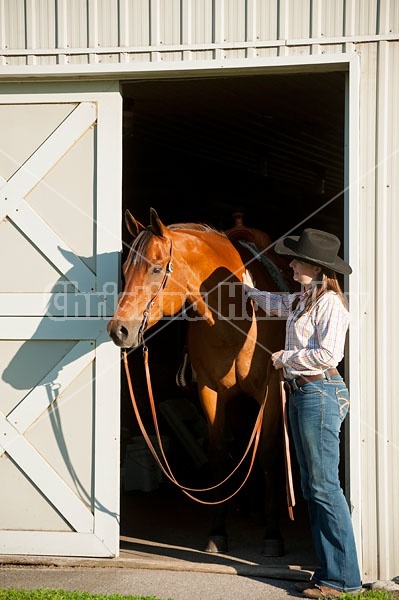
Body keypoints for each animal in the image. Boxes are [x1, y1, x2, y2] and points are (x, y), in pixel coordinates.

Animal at [109, 207, 294, 556]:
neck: (234, 319)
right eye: (125, 270)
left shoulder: (271, 392)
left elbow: (267, 453)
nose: (119, 330)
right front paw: (217, 532)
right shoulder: (210, 392)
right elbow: (218, 455)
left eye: (156, 269)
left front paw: (273, 536)